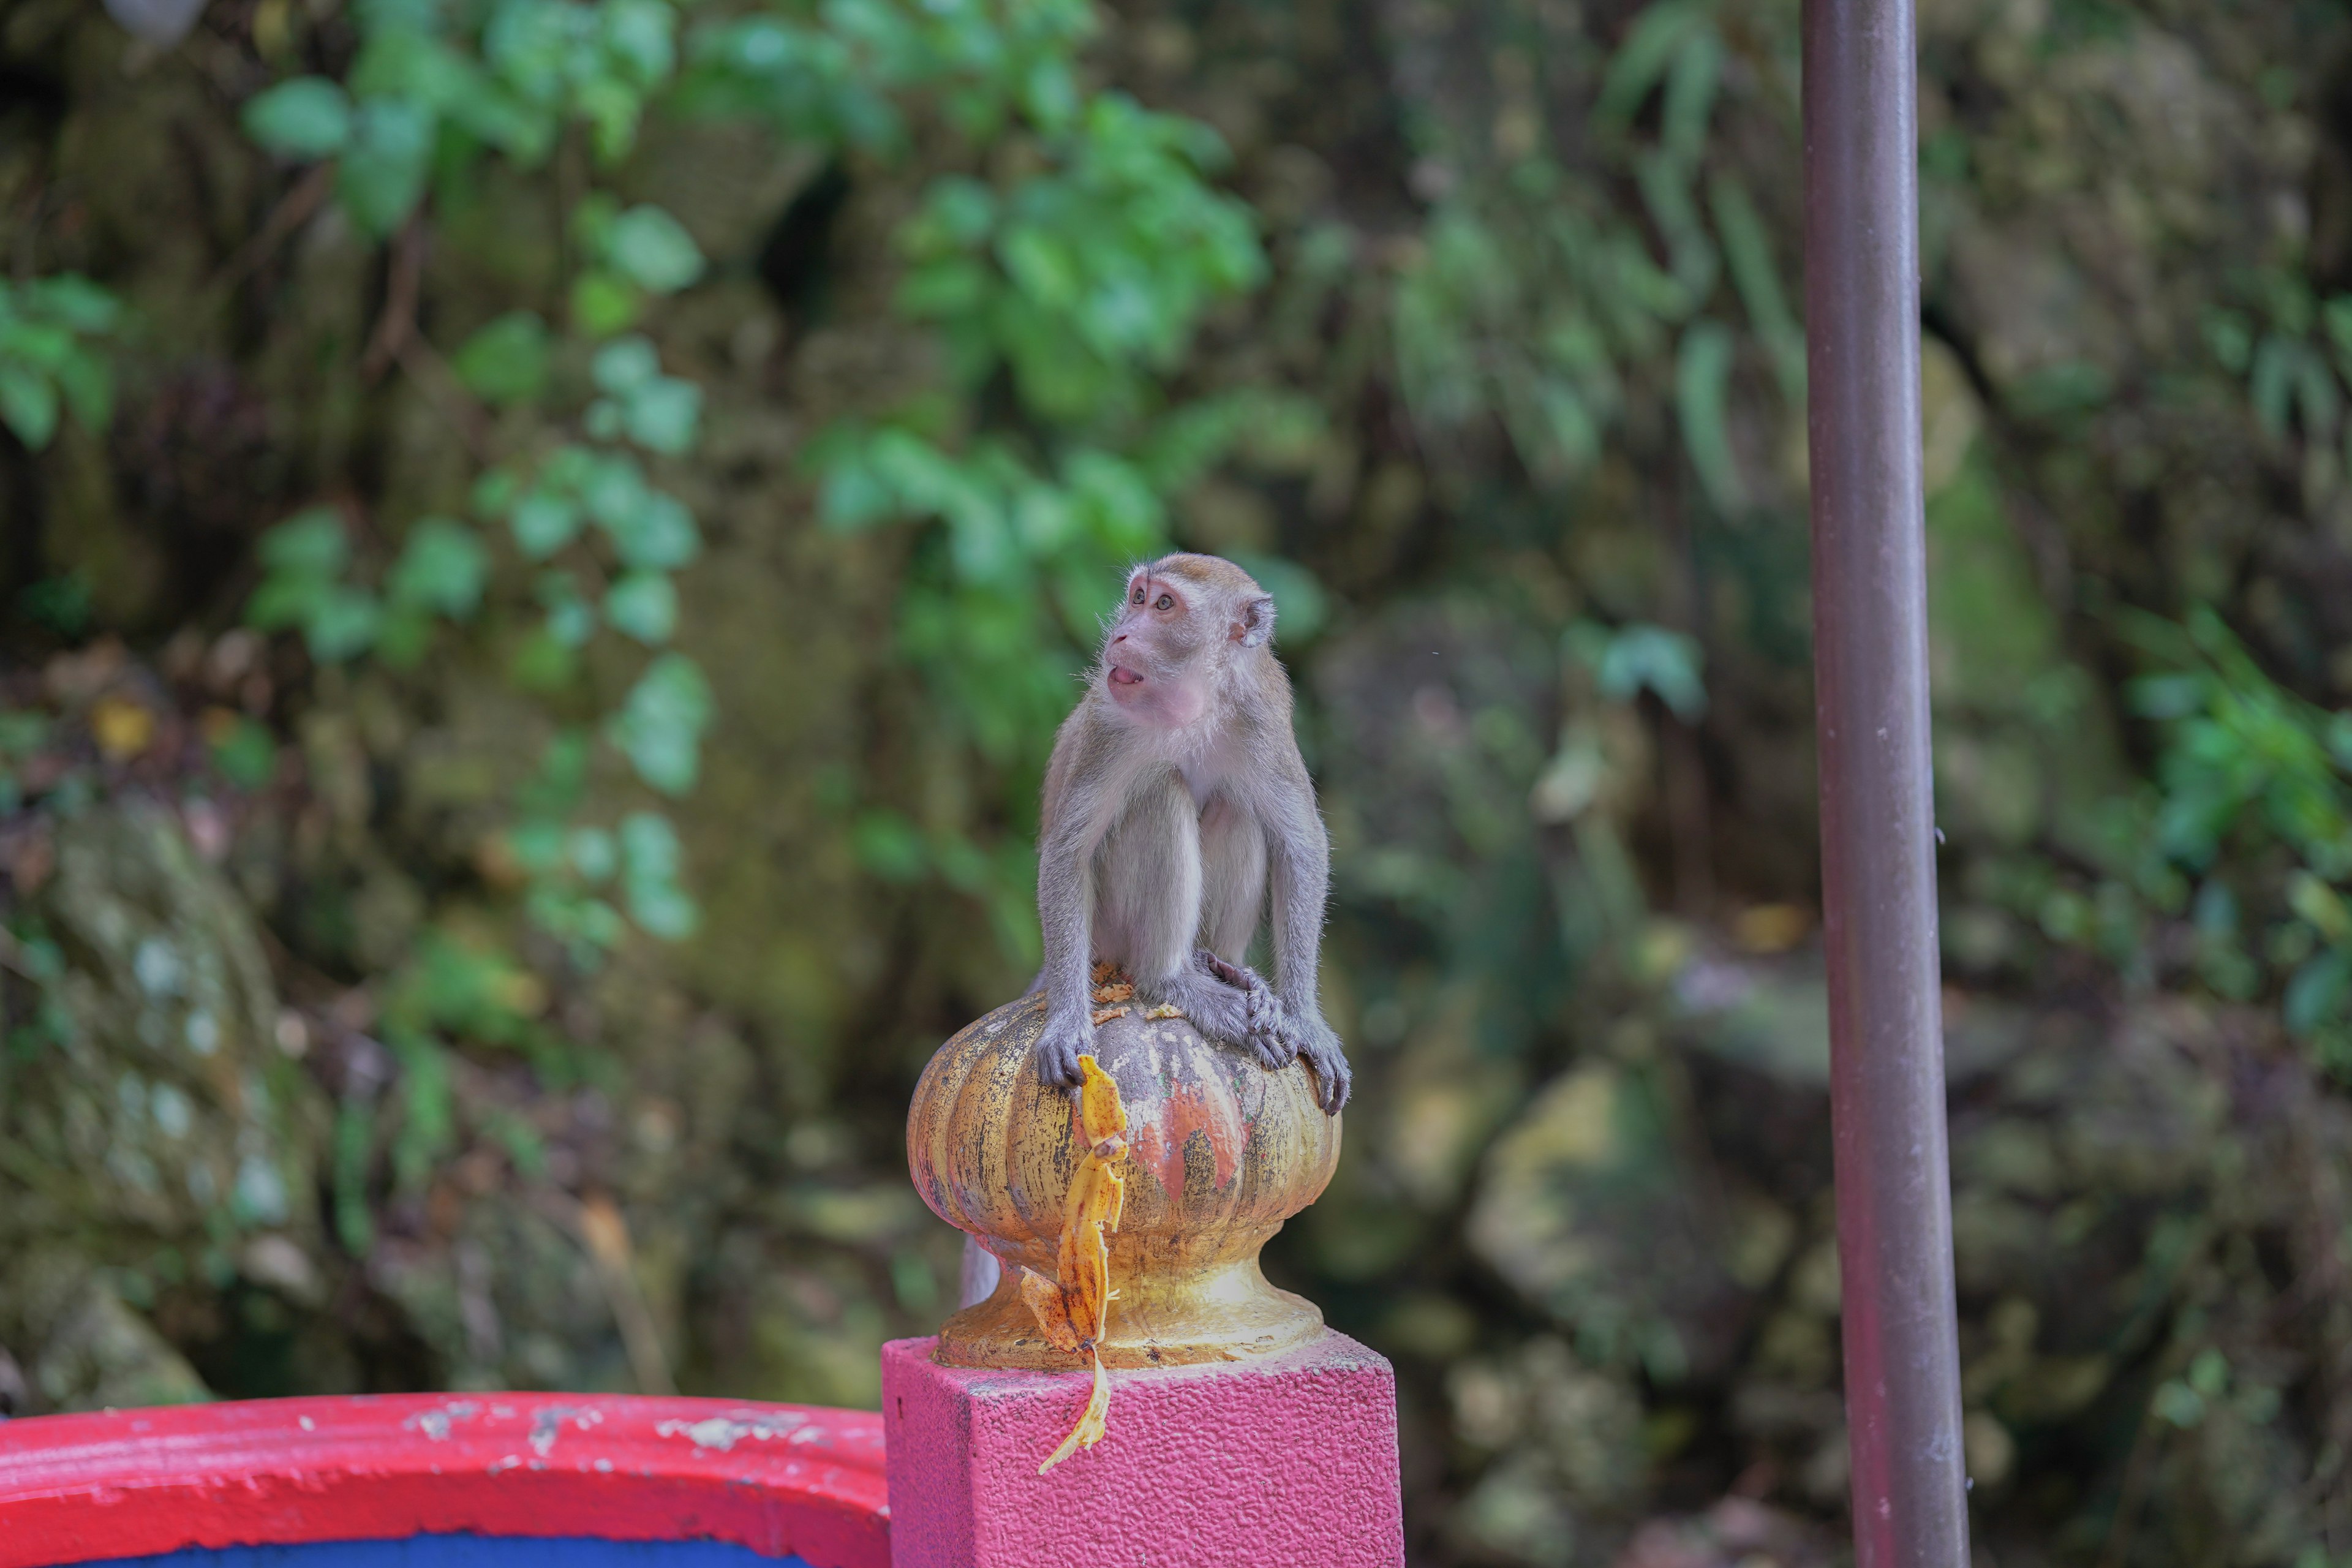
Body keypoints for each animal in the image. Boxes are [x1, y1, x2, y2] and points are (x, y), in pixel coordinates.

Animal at [1035, 552, 1354, 1114]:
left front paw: (1306, 1021)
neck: (1194, 704)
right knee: (1162, 792)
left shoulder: (1263, 715)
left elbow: (1301, 844)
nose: (1123, 633)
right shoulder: (1110, 725)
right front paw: (1066, 1023)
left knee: (1238, 808)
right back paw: (1174, 980)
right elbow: (1068, 854)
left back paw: (1223, 967)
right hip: (1110, 931)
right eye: (1139, 597)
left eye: (1165, 605)